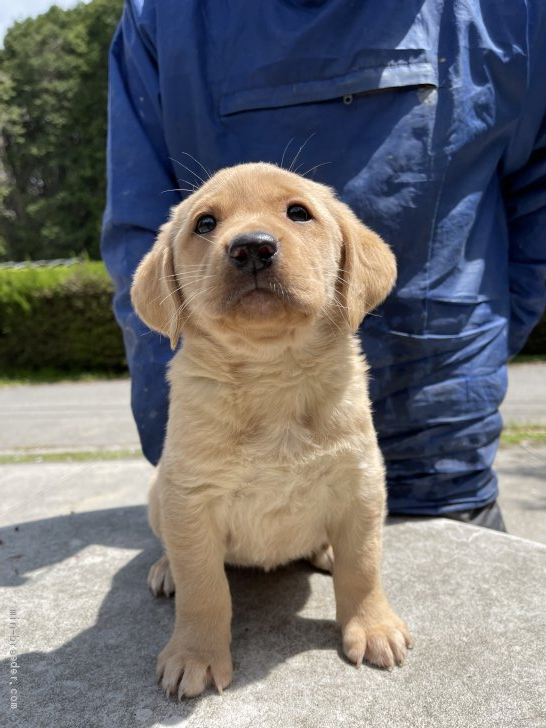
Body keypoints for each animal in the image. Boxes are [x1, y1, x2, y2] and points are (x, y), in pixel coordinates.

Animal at [132, 161, 410, 700]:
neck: (271, 375)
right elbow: (203, 588)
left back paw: (325, 550)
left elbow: (363, 567)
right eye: (205, 223)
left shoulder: (361, 484)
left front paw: (373, 627)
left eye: (298, 213)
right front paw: (195, 655)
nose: (252, 247)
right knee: (169, 549)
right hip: (160, 497)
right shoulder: (191, 499)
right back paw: (164, 570)